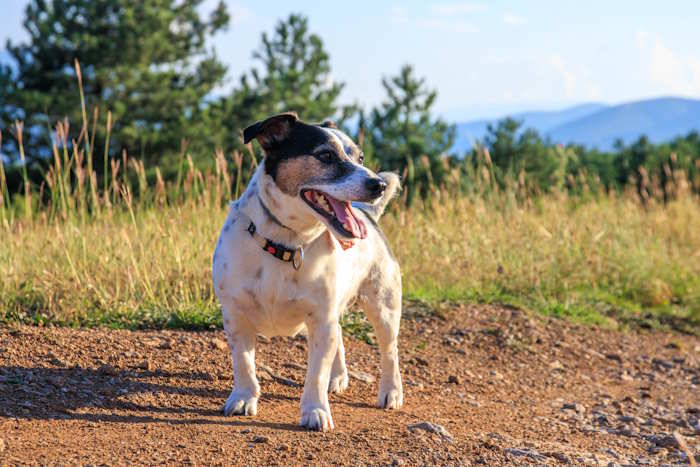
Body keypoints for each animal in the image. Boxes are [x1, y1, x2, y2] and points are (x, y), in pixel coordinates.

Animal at [211, 110, 402, 432]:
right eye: (325, 155)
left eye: (360, 157)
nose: (378, 185)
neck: (285, 244)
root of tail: (369, 216)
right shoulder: (235, 316)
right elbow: (244, 363)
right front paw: (243, 398)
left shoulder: (321, 321)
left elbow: (315, 373)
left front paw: (315, 410)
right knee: (341, 338)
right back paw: (338, 378)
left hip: (383, 307)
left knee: (390, 351)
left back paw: (391, 391)